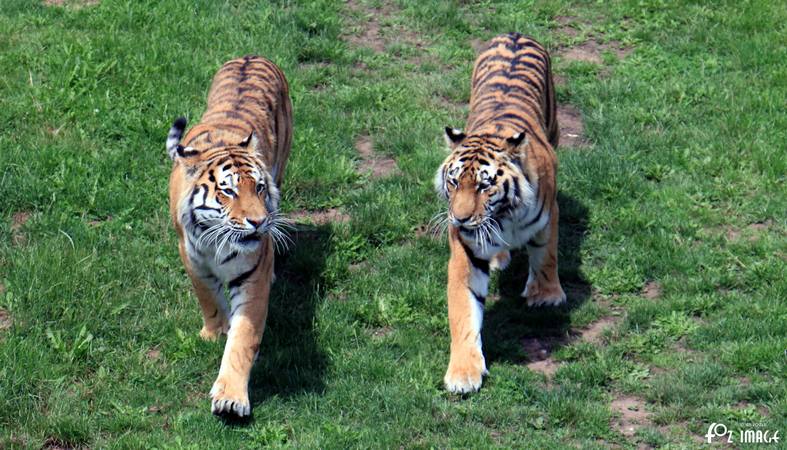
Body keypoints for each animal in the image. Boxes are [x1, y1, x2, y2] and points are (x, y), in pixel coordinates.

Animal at [166, 55, 292, 418]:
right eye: (229, 192)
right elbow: (207, 299)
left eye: (259, 188)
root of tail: (253, 55)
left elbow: (243, 339)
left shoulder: (253, 276)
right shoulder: (190, 256)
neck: (215, 239)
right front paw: (214, 331)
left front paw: (231, 399)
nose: (259, 222)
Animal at [438, 33, 568, 392]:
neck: (504, 216)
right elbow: (463, 310)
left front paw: (546, 296)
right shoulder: (466, 249)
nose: (459, 218)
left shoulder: (549, 214)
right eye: (454, 182)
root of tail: (513, 34)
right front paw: (463, 373)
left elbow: (546, 254)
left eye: (484, 186)